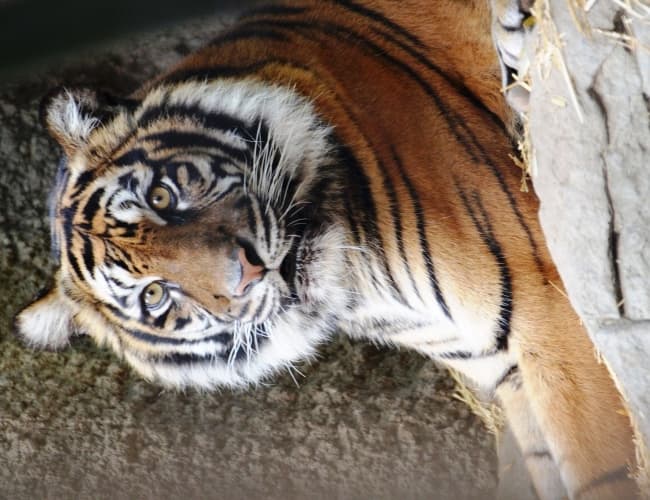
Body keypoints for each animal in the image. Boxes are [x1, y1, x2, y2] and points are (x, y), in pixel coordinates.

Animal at [14, 0, 638, 498]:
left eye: (161, 196)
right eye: (154, 297)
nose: (245, 273)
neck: (361, 293)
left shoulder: (546, 315)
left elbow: (603, 470)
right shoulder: (508, 368)